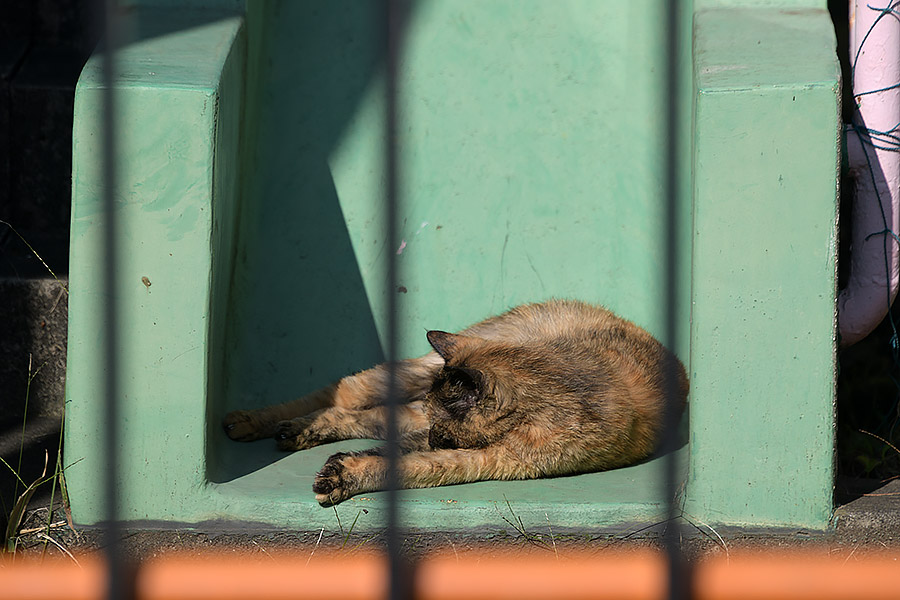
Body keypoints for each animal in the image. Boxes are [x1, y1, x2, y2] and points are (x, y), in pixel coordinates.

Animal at [221, 300, 684, 506]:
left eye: (444, 434)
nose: (433, 438)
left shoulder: (494, 459)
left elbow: (411, 465)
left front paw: (345, 472)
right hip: (415, 371)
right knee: (342, 392)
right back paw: (252, 421)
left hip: (408, 405)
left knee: (354, 414)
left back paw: (297, 431)